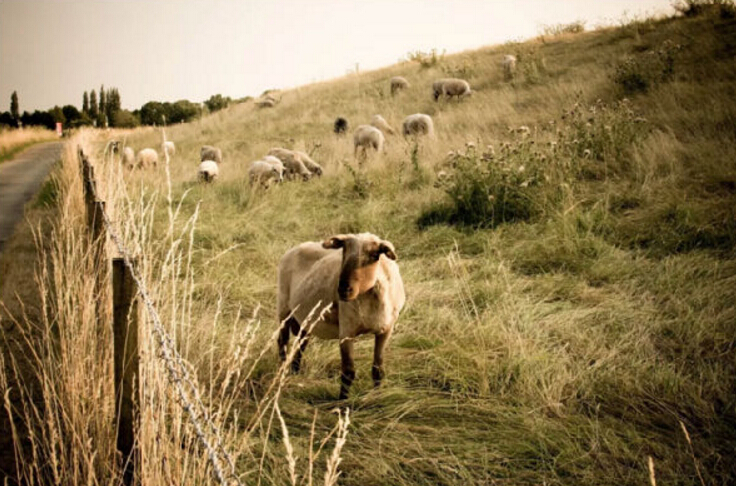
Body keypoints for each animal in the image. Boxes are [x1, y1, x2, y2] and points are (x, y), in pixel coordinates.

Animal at [276, 233, 406, 398]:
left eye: (374, 255)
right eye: (344, 251)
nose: (343, 289)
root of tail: (295, 248)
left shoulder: (386, 330)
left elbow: (378, 370)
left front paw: (377, 395)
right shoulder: (346, 331)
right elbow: (348, 372)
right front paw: (343, 400)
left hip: (306, 319)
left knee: (300, 345)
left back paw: (295, 372)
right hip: (284, 308)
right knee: (283, 342)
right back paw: (283, 373)